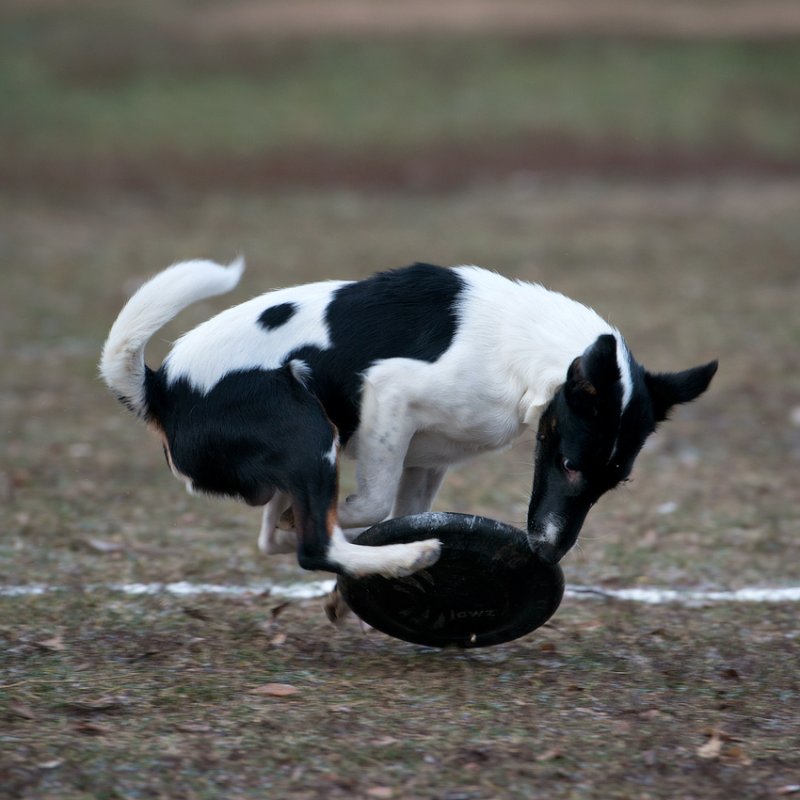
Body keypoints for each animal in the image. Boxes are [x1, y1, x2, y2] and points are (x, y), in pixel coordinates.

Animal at [101, 260, 720, 580]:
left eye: (614, 483)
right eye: (568, 464)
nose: (547, 553)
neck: (530, 354)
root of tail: (160, 388)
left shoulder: (425, 459)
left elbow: (398, 510)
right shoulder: (390, 393)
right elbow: (371, 506)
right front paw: (377, 534)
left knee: (276, 536)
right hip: (309, 431)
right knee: (312, 545)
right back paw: (403, 556)